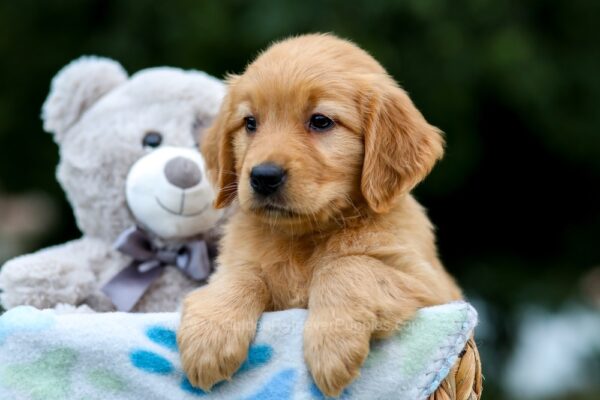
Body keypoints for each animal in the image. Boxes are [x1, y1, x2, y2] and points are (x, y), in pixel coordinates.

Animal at [176, 33, 462, 396]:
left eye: (321, 121)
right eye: (250, 123)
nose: (263, 176)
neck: (306, 235)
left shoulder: (430, 287)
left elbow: (348, 265)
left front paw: (332, 342)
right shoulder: (236, 264)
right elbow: (241, 275)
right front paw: (210, 335)